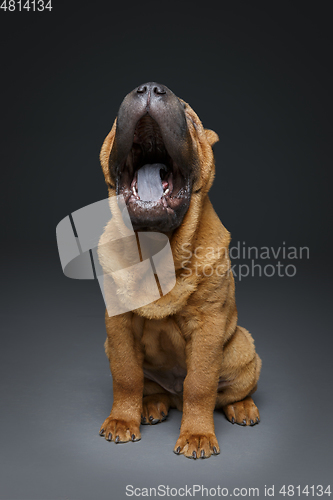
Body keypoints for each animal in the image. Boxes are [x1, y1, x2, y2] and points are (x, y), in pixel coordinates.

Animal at [96, 81, 260, 458]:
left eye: (190, 118)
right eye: (116, 119)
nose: (149, 87)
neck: (156, 249)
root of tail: (173, 395)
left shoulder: (208, 325)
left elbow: (200, 384)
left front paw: (197, 435)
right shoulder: (118, 326)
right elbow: (125, 376)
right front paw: (122, 420)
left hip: (243, 349)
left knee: (225, 392)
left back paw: (242, 407)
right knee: (149, 386)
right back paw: (152, 405)